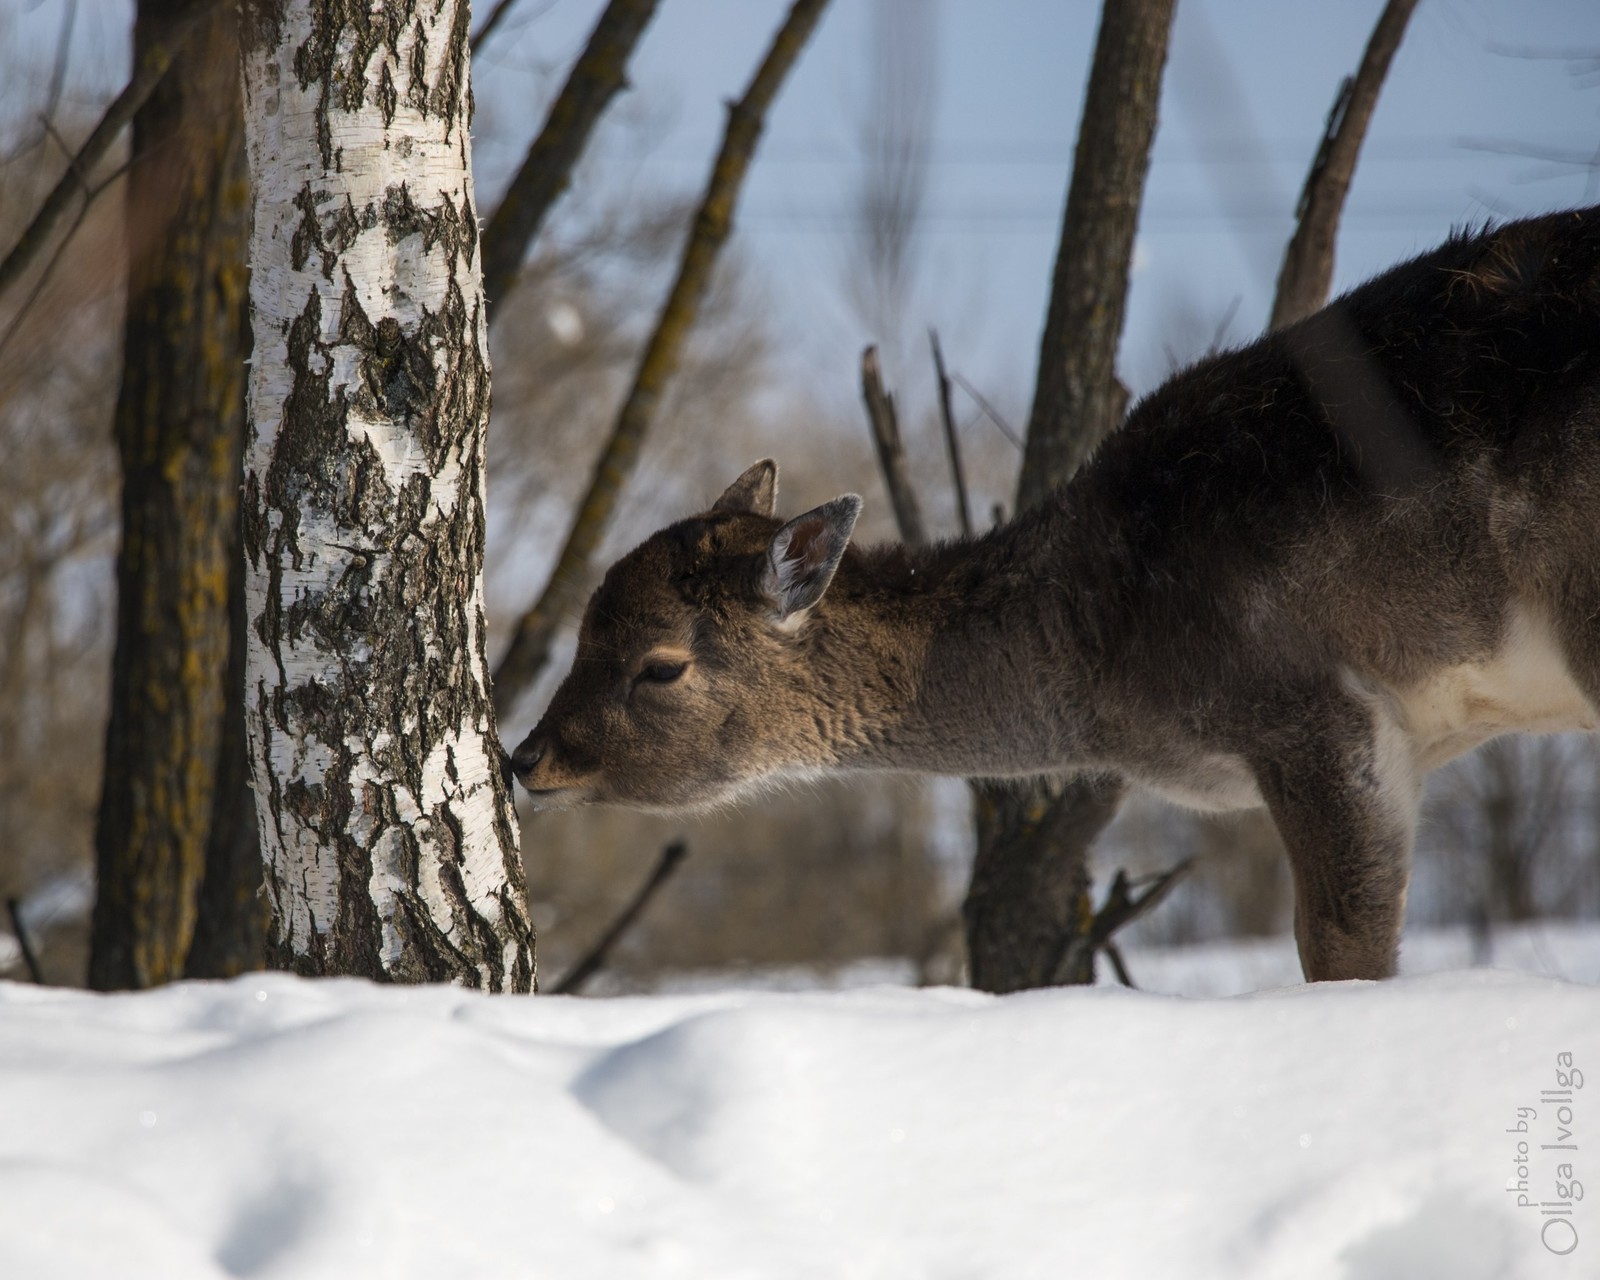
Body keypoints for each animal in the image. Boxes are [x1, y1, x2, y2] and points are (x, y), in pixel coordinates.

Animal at [508, 208, 1600, 979]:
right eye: (584, 630)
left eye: (659, 664)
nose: (527, 757)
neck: (1118, 665)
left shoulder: (1320, 712)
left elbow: (1343, 950)